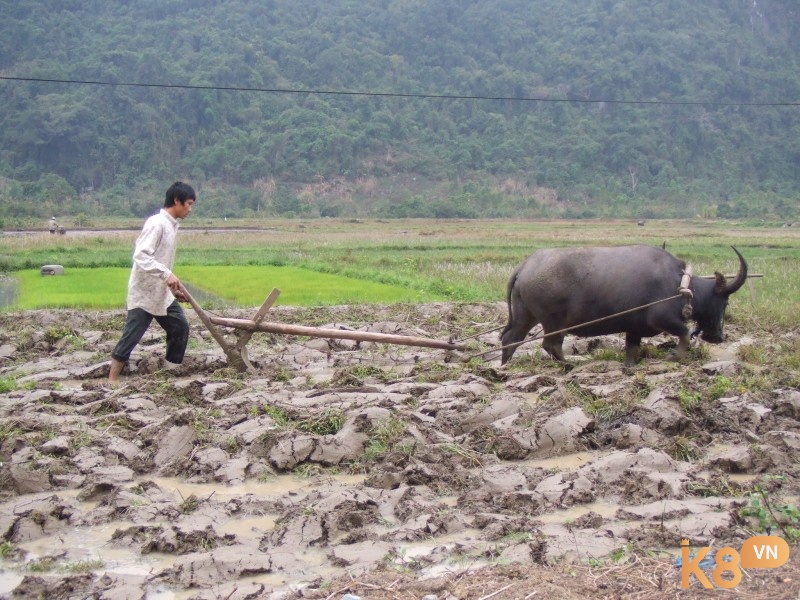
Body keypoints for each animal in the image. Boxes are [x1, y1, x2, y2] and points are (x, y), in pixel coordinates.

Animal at [504, 244, 748, 366]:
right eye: (724, 301)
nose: (718, 337)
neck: (680, 285)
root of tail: (525, 266)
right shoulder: (662, 319)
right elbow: (685, 334)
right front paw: (674, 356)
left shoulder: (634, 329)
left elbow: (632, 350)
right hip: (554, 322)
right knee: (550, 345)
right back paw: (569, 364)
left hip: (525, 316)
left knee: (510, 338)